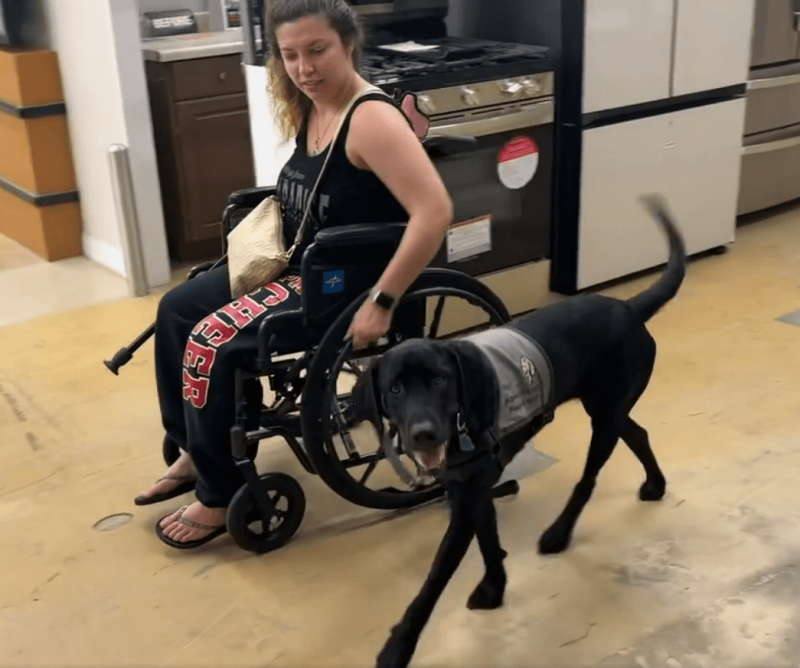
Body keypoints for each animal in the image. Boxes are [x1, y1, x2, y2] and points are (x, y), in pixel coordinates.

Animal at [356, 193, 688, 668]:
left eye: (440, 379)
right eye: (395, 388)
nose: (423, 434)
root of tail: (628, 307)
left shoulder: (468, 499)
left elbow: (433, 582)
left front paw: (399, 645)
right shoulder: (471, 489)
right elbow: (488, 539)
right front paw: (495, 587)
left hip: (604, 418)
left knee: (588, 479)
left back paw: (559, 533)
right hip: (607, 406)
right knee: (638, 433)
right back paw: (655, 484)